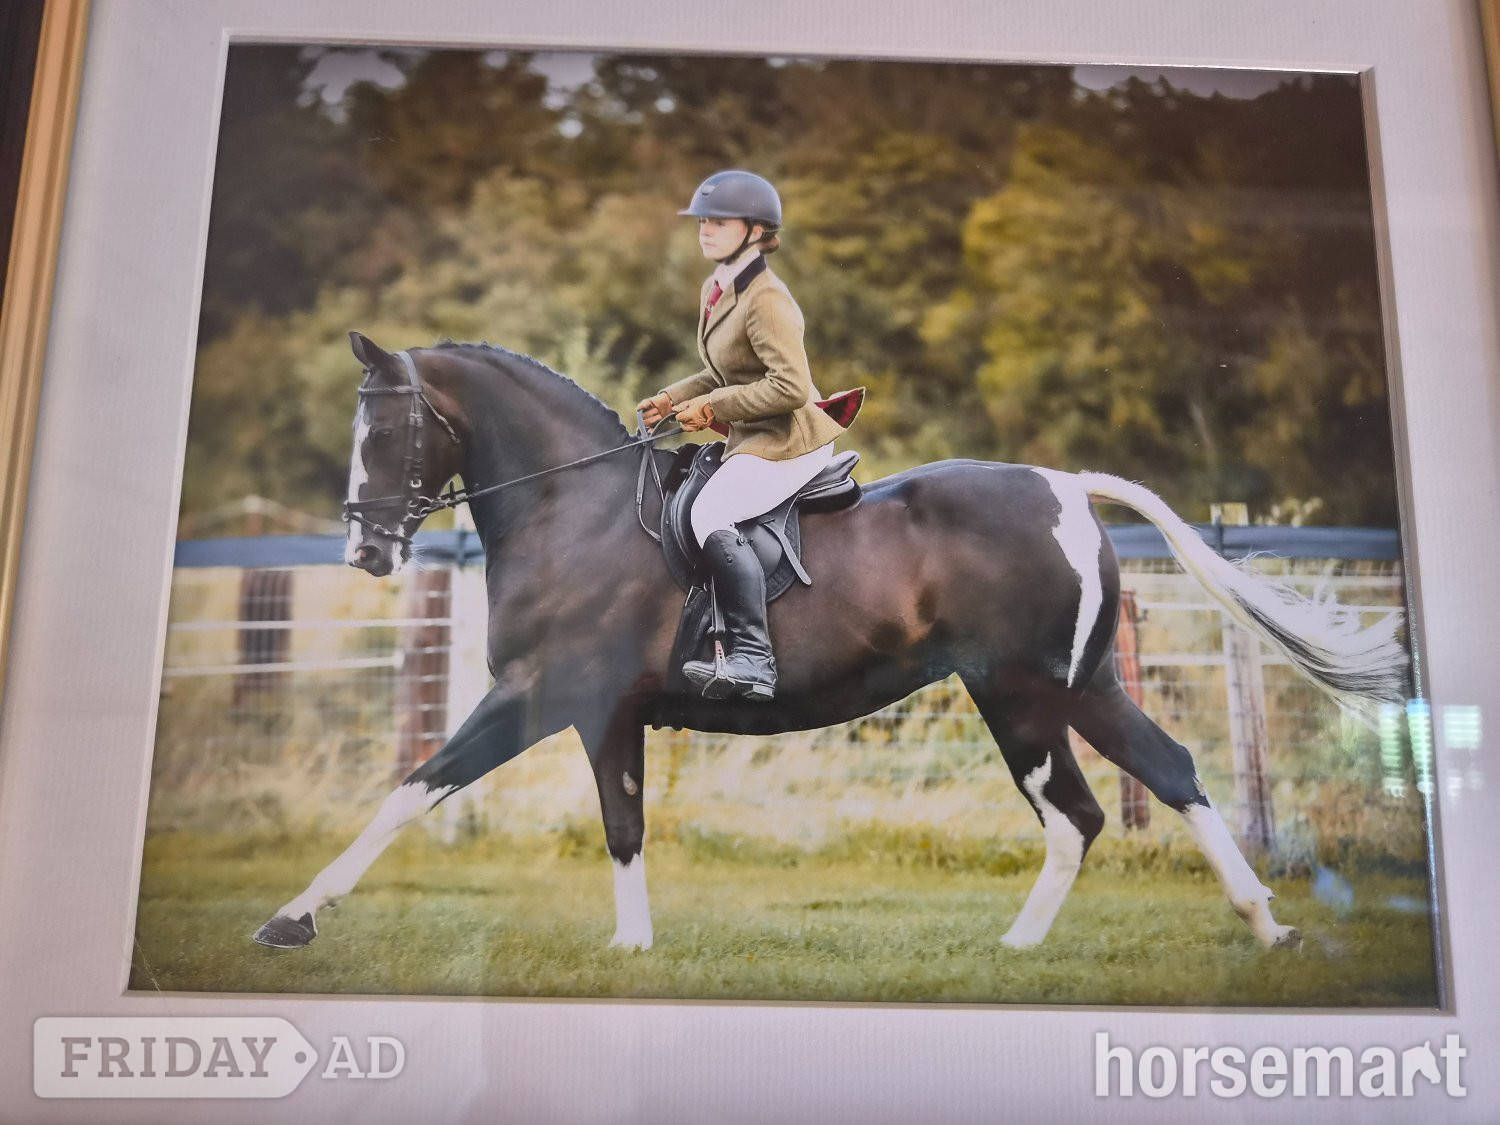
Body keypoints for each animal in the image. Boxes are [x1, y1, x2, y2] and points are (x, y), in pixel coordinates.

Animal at [253, 331, 1407, 954]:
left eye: (389, 430)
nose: (365, 549)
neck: (570, 509)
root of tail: (1067, 486)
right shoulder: (587, 714)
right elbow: (599, 822)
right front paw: (634, 944)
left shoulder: (547, 698)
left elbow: (425, 791)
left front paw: (294, 917)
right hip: (1068, 688)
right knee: (1150, 777)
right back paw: (1238, 927)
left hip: (1025, 692)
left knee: (1083, 808)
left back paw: (1047, 946)